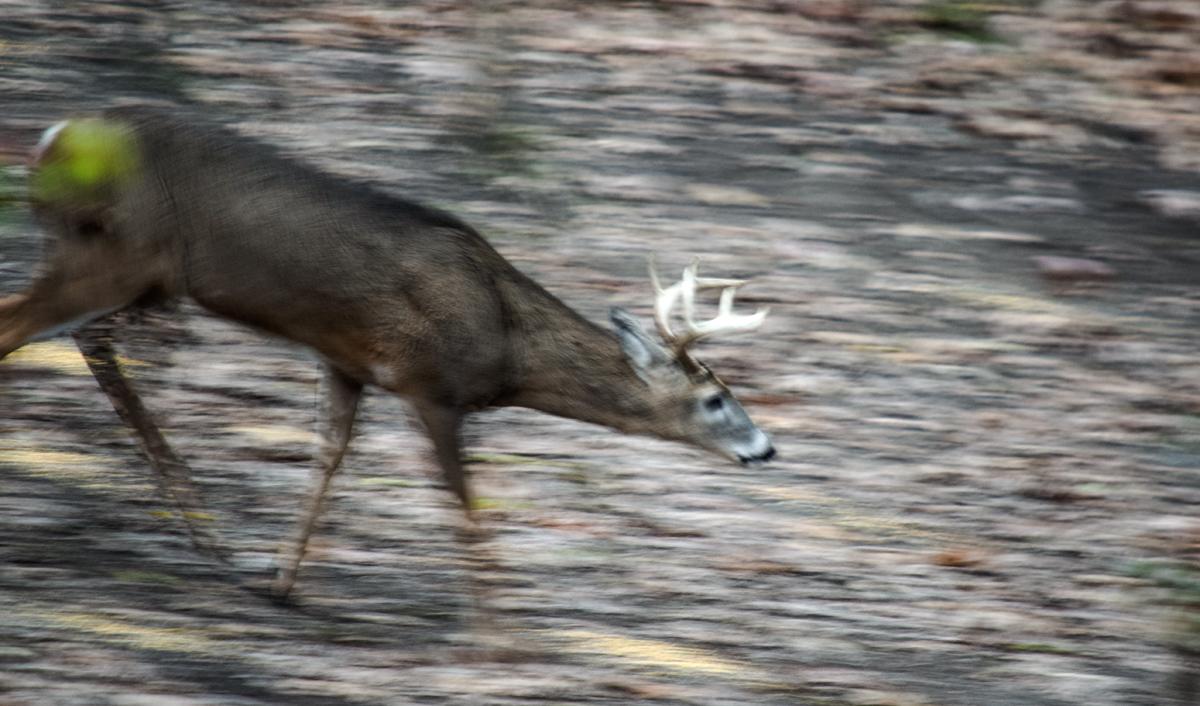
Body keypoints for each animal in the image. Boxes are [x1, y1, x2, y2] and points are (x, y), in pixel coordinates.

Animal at [0, 107, 775, 600]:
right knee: (18, 325)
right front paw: (499, 639)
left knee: (87, 340)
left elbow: (327, 458)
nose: (766, 448)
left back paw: (207, 533)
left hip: (139, 277)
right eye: (716, 399)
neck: (506, 340)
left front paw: (279, 579)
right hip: (111, 257)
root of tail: (54, 138)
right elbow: (464, 501)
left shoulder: (346, 363)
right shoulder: (429, 383)